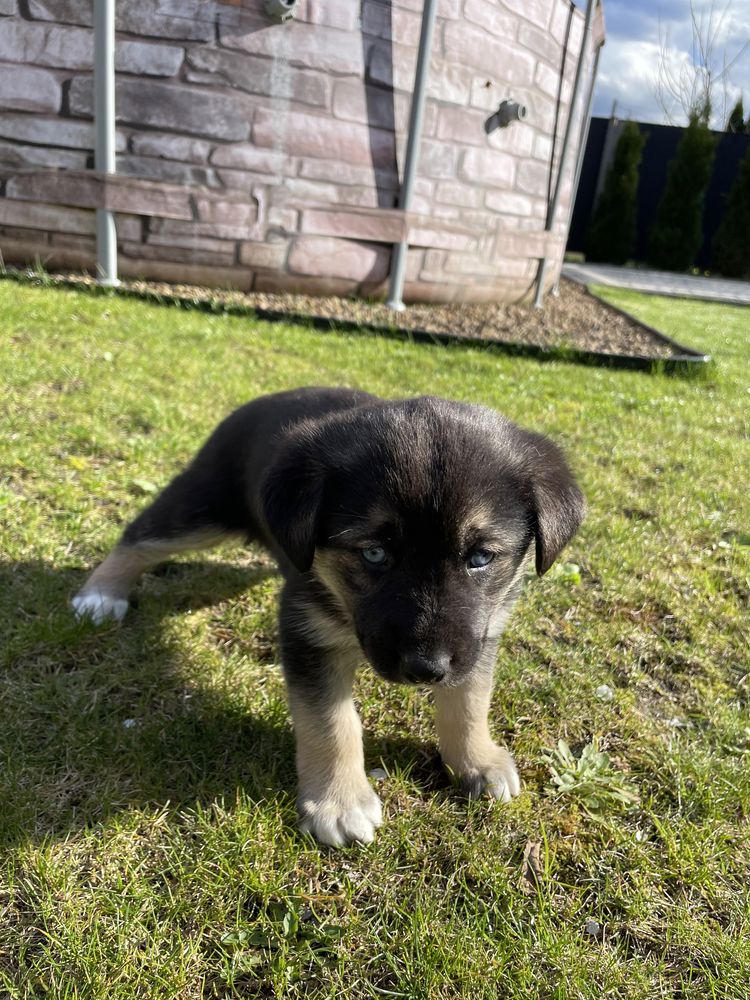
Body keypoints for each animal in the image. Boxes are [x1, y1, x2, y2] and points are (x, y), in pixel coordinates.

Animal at [73, 388, 588, 844]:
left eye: (481, 557)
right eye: (374, 553)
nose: (426, 670)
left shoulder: (480, 634)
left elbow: (469, 701)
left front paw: (476, 760)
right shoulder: (308, 633)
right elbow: (331, 723)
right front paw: (339, 803)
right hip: (204, 507)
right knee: (141, 536)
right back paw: (100, 594)